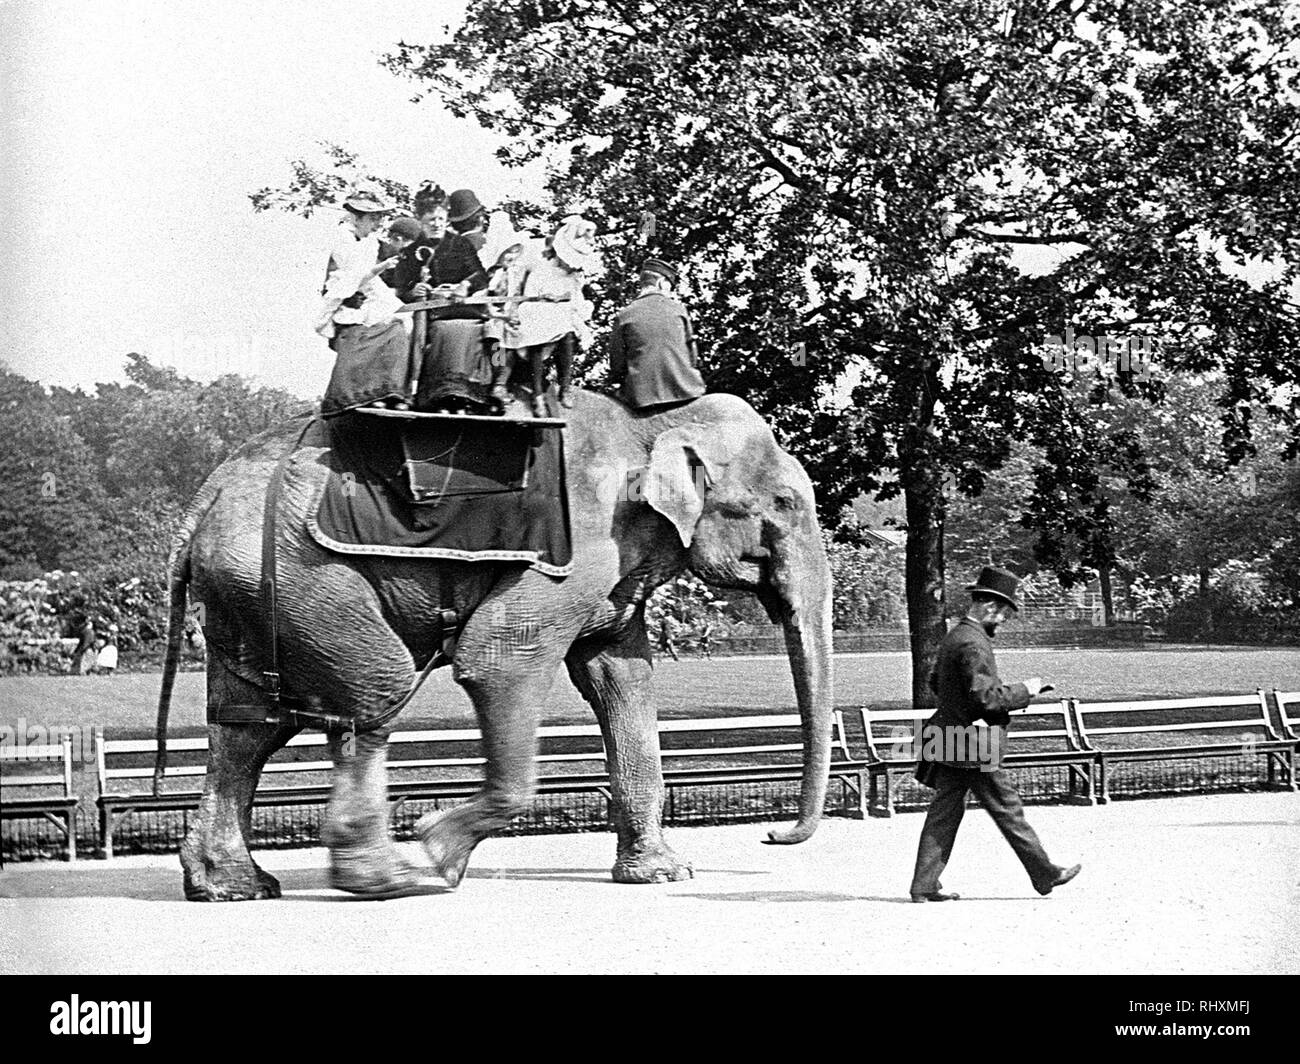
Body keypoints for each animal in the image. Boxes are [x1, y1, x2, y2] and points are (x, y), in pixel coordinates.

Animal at [154, 385, 832, 900]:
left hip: (251, 599)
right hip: (309, 582)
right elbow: (498, 663)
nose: (771, 836)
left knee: (250, 724)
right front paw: (436, 851)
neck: (653, 421)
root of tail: (204, 500)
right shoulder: (577, 550)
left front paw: (663, 876)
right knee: (372, 693)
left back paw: (231, 887)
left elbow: (623, 680)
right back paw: (389, 879)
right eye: (785, 502)